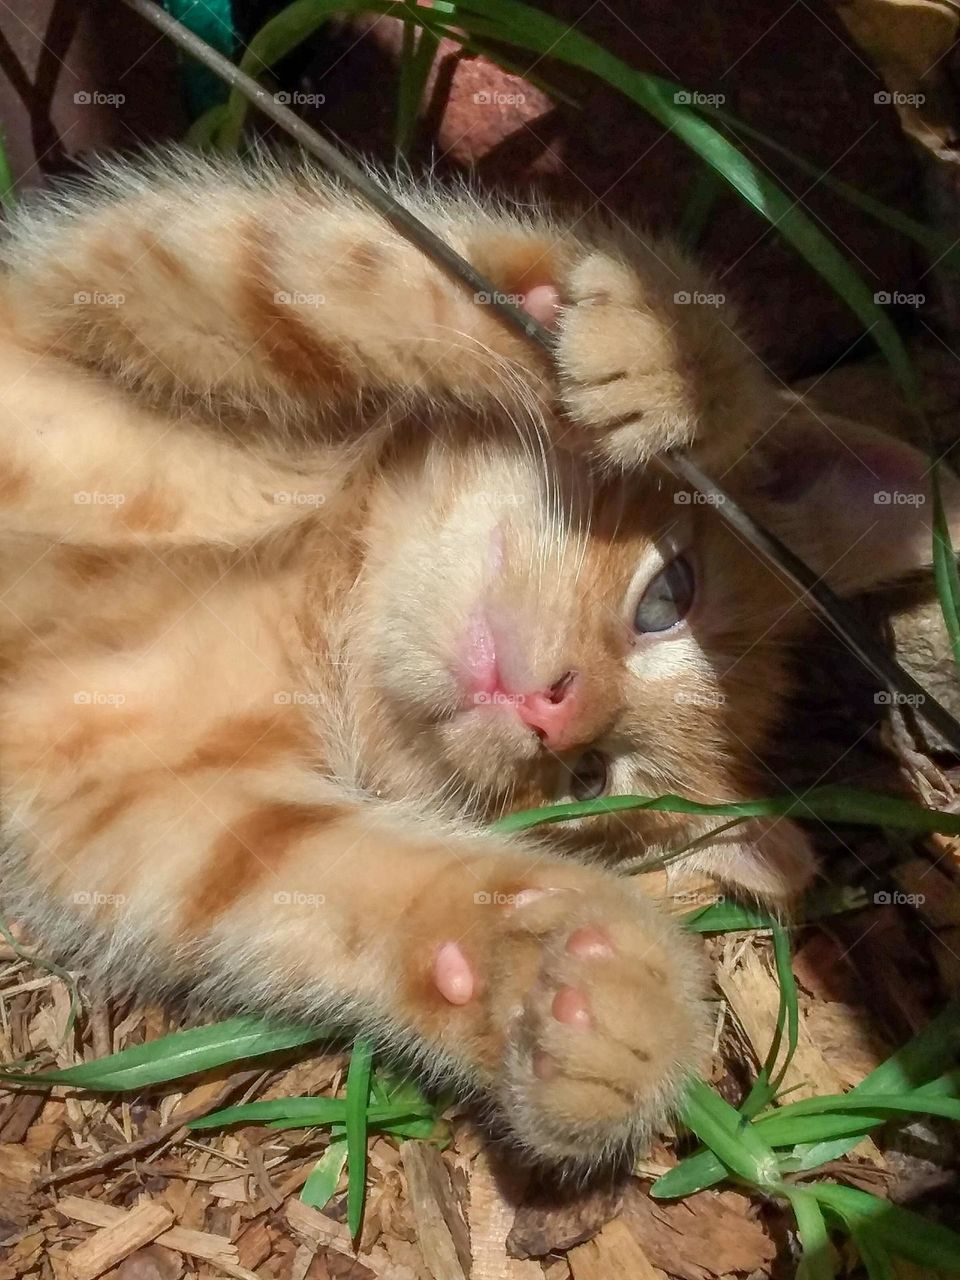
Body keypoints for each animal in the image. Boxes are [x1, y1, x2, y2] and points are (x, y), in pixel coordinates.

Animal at [0, 152, 952, 1172]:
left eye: (588, 777)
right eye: (667, 598)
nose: (553, 712)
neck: (318, 583)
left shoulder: (160, 811)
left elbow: (324, 884)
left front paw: (578, 990)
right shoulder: (89, 290)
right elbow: (315, 274)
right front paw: (678, 357)